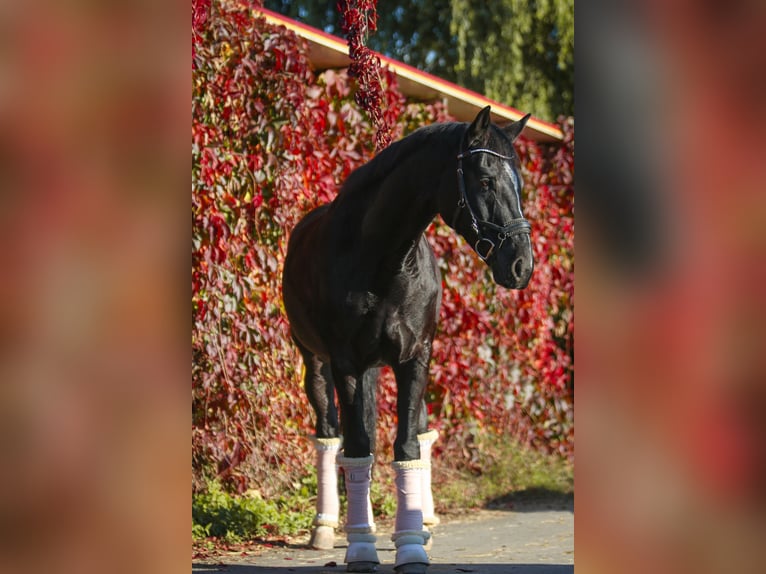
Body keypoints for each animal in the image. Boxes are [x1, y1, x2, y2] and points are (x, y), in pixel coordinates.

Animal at [282, 106, 536, 572]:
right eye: (485, 180)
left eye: (520, 183)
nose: (521, 266)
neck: (384, 259)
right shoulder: (346, 363)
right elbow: (358, 448)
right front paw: (361, 548)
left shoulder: (415, 358)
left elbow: (406, 445)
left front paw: (412, 546)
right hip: (316, 363)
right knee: (331, 436)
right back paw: (328, 527)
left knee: (408, 430)